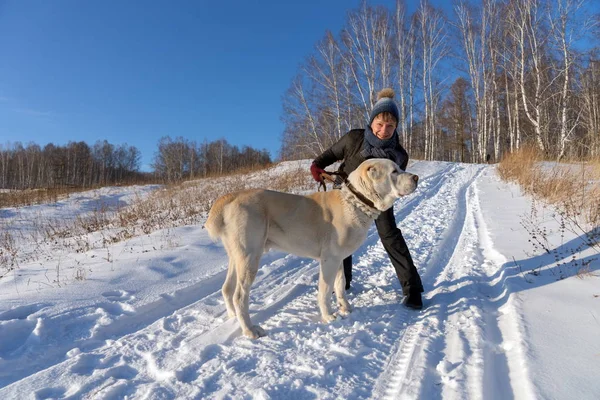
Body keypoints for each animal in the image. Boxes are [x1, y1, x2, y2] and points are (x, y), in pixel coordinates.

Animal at [205, 158, 418, 340]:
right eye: (394, 171)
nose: (415, 177)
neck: (356, 201)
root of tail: (231, 196)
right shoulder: (329, 259)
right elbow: (325, 289)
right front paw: (328, 316)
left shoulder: (339, 258)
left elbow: (340, 285)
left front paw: (345, 308)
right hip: (250, 257)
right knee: (240, 296)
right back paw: (250, 330)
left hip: (237, 257)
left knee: (227, 289)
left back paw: (234, 317)